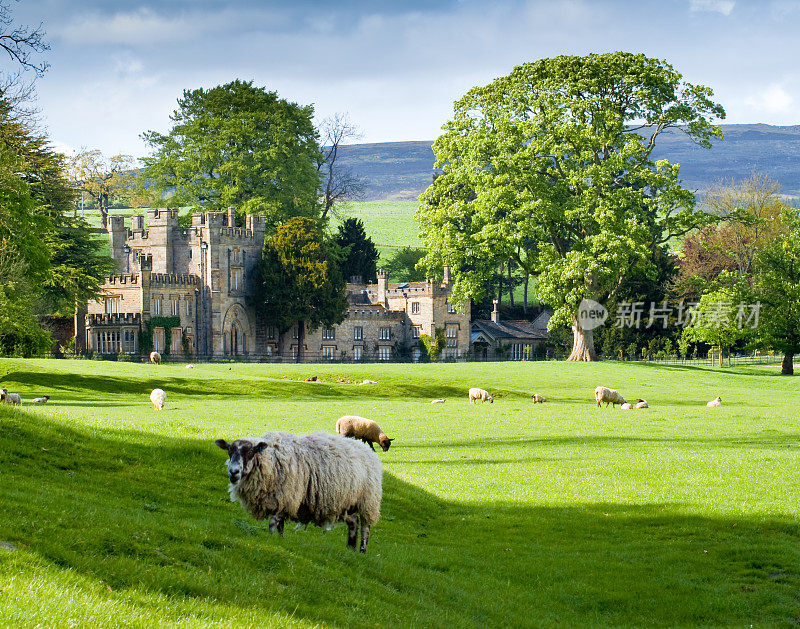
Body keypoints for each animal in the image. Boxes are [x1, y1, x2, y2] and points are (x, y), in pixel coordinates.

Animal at [216, 430, 384, 552]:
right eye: (229, 451)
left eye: (250, 452)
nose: (233, 472)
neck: (271, 459)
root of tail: (367, 450)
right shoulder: (282, 500)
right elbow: (280, 525)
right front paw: (280, 540)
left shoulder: (286, 496)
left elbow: (273, 523)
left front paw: (270, 540)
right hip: (347, 503)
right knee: (353, 522)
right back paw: (350, 549)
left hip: (368, 501)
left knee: (365, 527)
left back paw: (362, 550)